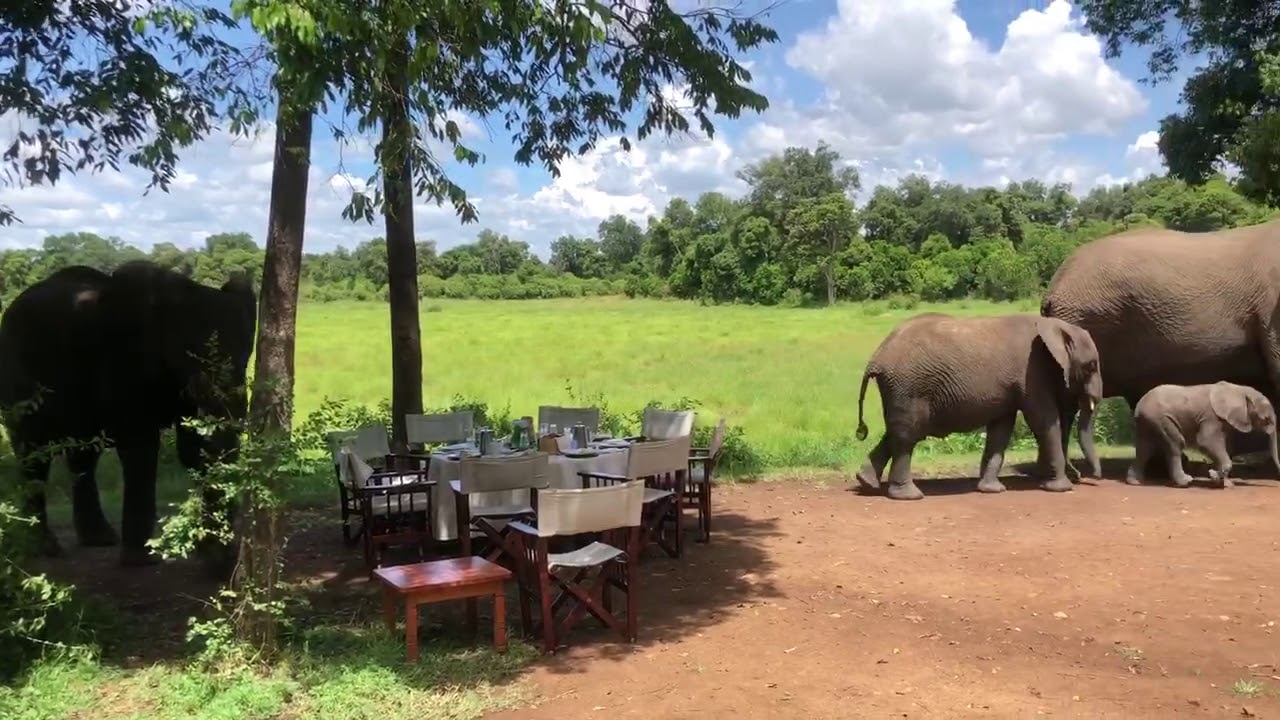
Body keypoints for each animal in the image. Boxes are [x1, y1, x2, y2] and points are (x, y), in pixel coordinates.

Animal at [0, 260, 257, 567]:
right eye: (188, 358)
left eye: (245, 360)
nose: (227, 559)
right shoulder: (123, 361)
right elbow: (142, 447)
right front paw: (142, 560)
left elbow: (193, 447)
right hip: (17, 377)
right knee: (33, 452)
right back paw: (44, 547)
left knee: (83, 455)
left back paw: (99, 539)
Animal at [853, 312, 1103, 500]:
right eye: (1091, 366)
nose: (1087, 477)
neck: (1054, 326)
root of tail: (876, 358)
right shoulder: (1031, 372)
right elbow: (1044, 421)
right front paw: (1062, 488)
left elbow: (1001, 429)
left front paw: (992, 490)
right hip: (909, 386)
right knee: (907, 436)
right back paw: (909, 496)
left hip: (901, 390)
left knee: (896, 432)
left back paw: (866, 483)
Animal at [1126, 382, 1280, 488]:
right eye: (1266, 419)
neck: (1240, 390)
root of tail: (1139, 404)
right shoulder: (1211, 417)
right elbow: (1206, 441)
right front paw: (1215, 477)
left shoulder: (1224, 420)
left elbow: (1224, 446)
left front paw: (1224, 483)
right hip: (1159, 417)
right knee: (1175, 444)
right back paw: (1185, 482)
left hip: (1146, 421)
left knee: (1145, 449)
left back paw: (1135, 482)